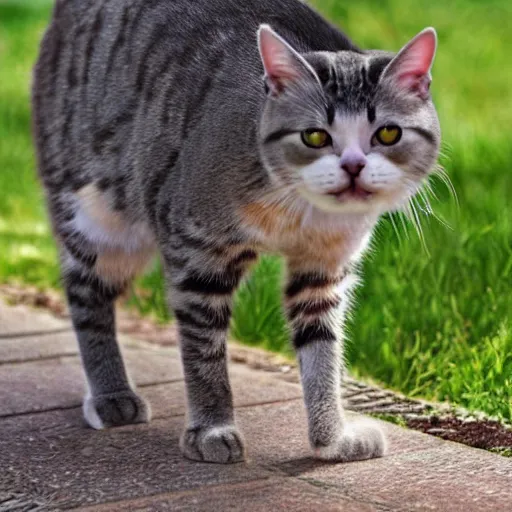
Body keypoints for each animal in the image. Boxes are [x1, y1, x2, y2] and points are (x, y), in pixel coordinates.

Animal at [32, 0, 440, 464]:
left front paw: (331, 439)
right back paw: (111, 395)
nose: (353, 165)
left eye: (387, 132)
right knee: (87, 296)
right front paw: (211, 430)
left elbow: (323, 352)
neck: (298, 212)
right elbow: (203, 352)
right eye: (315, 136)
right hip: (100, 217)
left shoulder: (322, 269)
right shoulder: (196, 251)